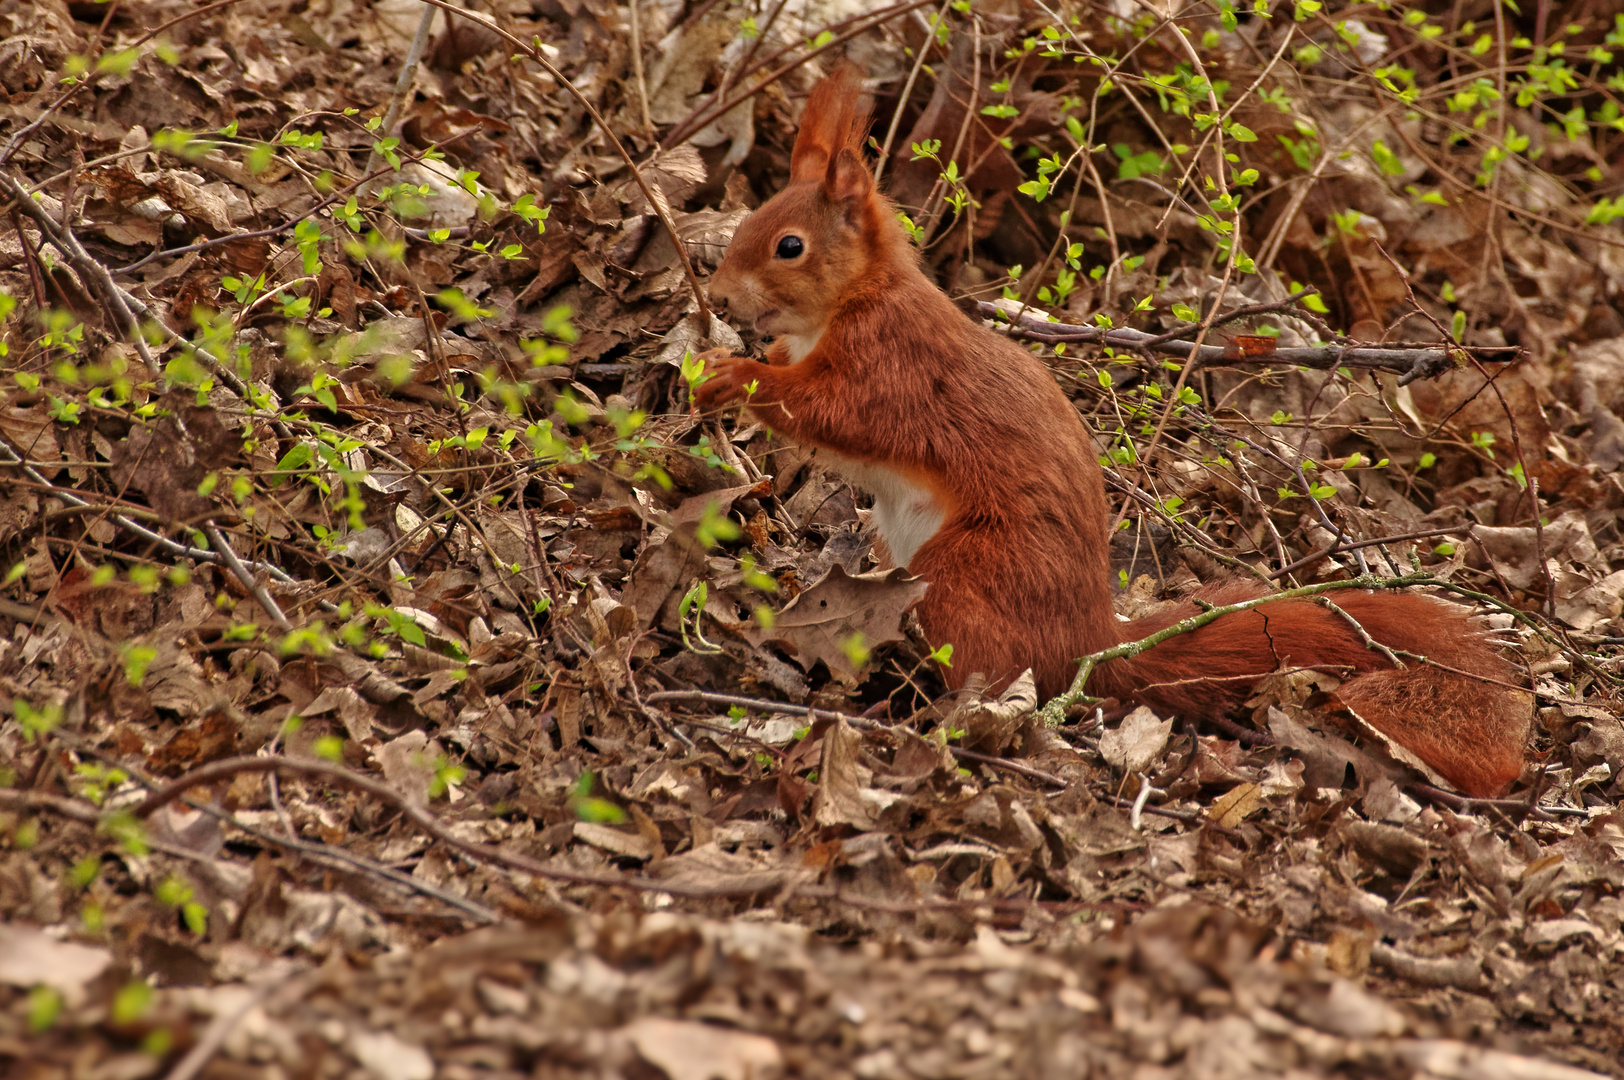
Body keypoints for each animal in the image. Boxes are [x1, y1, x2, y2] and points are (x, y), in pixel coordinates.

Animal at [698, 65, 1533, 792]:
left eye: (789, 246)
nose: (717, 296)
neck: (856, 299)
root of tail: (1091, 644)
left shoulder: (890, 370)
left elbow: (827, 411)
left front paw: (728, 374)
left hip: (966, 579)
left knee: (995, 673)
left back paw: (927, 711)